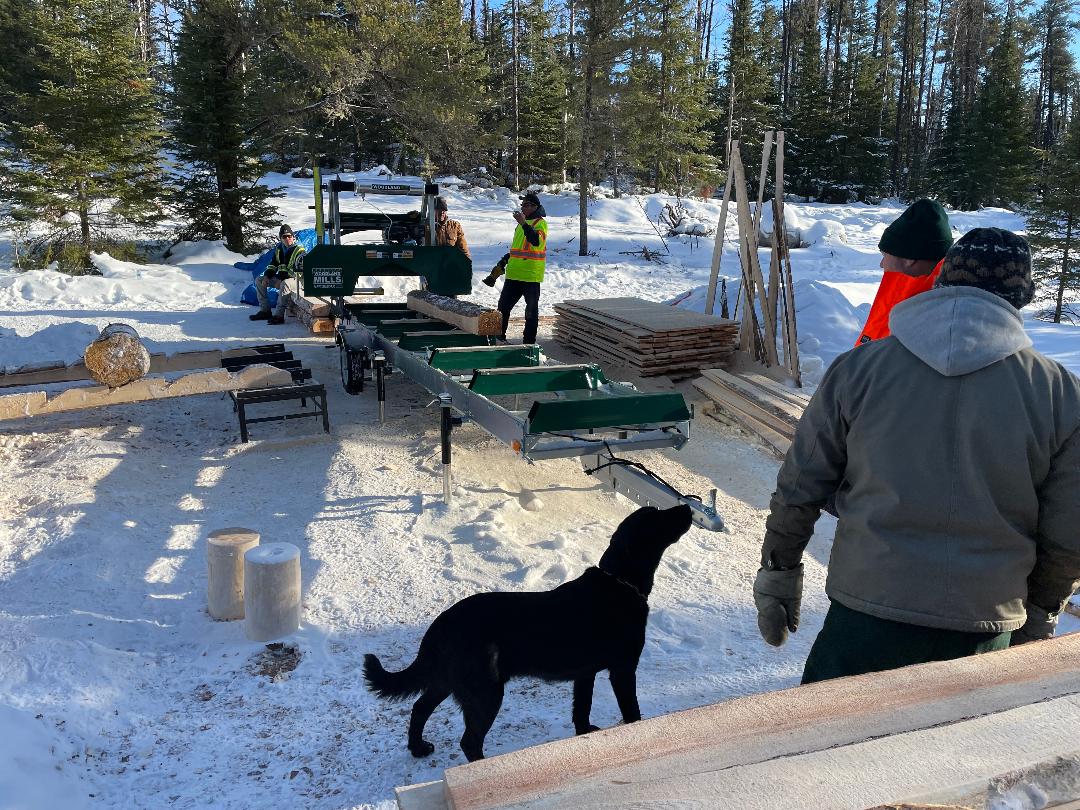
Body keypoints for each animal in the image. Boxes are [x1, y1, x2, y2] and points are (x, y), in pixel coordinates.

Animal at [362, 505, 691, 764]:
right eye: (657, 516)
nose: (688, 505)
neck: (620, 582)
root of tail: (439, 625)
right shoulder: (622, 669)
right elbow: (632, 711)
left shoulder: (585, 674)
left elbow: (581, 710)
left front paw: (584, 737)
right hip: (485, 691)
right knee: (469, 741)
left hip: (448, 680)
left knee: (419, 708)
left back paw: (418, 748)